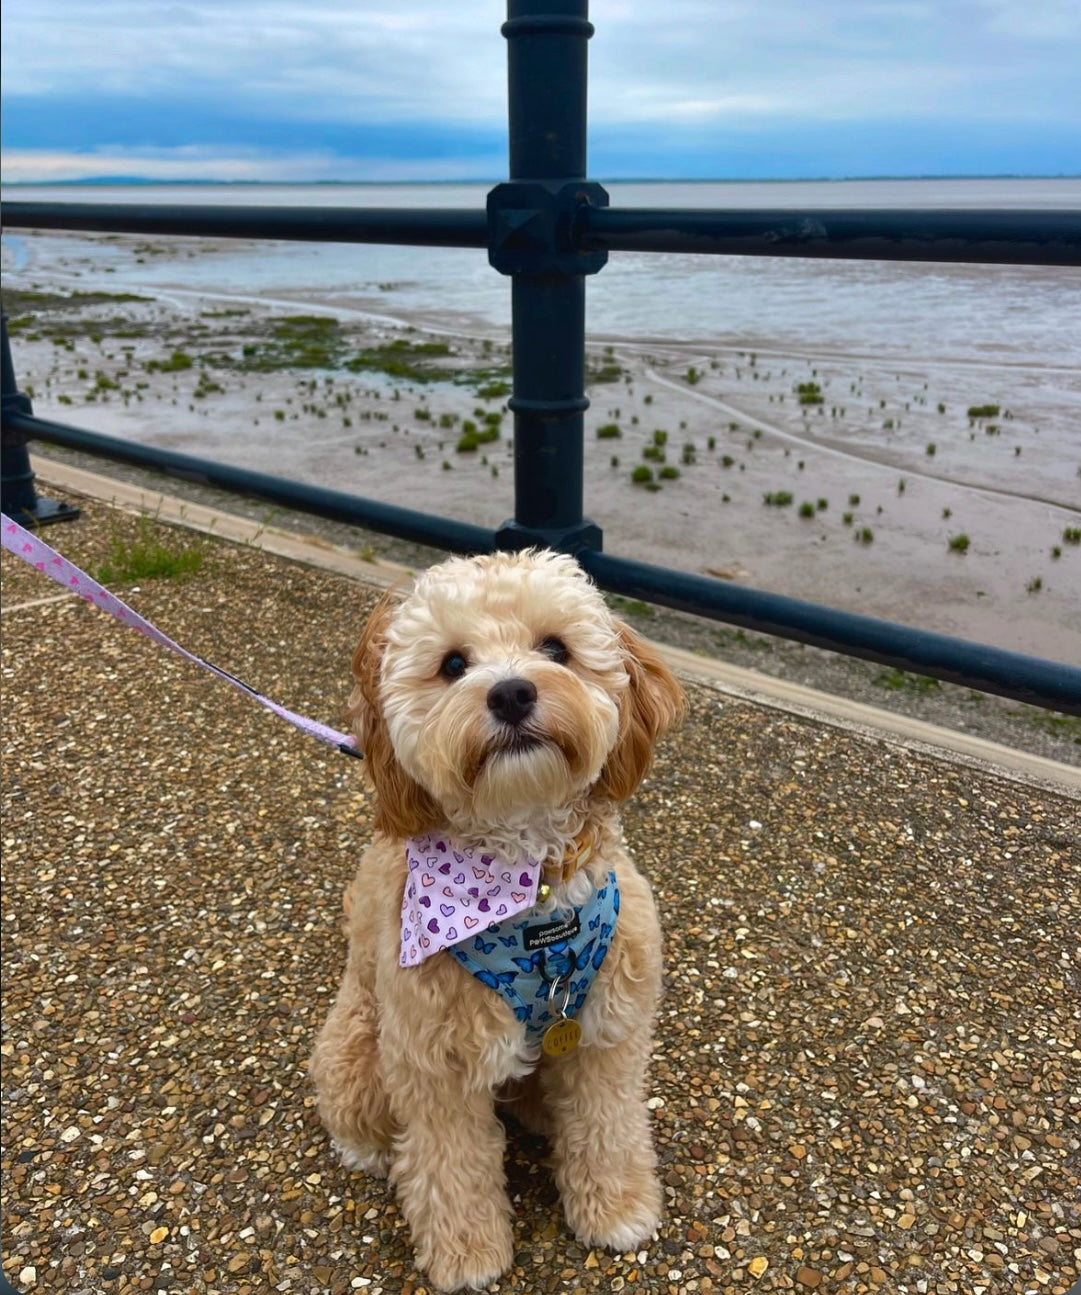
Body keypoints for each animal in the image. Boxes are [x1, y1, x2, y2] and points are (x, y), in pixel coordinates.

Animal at [313, 549, 683, 1295]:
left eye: (556, 648)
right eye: (453, 663)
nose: (511, 693)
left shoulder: (607, 1032)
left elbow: (608, 1125)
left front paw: (618, 1208)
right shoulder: (433, 1062)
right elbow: (450, 1165)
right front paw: (468, 1256)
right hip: (359, 1050)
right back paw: (371, 1150)